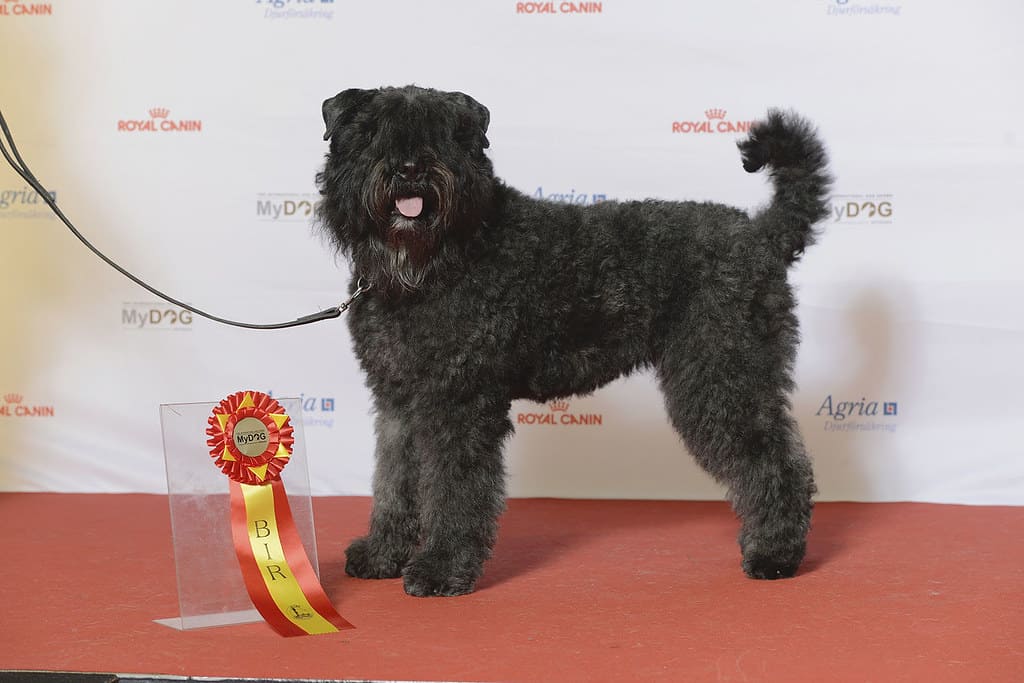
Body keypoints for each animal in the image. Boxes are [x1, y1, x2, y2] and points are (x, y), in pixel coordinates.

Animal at [317, 87, 831, 598]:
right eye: (370, 132)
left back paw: (774, 555)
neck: (431, 265)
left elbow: (453, 487)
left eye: (445, 134)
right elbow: (394, 479)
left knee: (775, 460)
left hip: (722, 377)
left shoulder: (458, 401)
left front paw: (442, 568)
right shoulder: (398, 398)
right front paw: (382, 553)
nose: (409, 169)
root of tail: (762, 234)